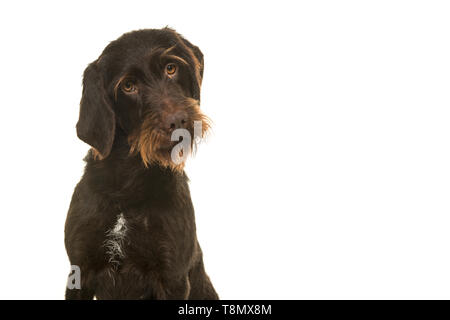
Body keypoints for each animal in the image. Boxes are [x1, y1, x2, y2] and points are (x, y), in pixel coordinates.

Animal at [64, 28, 218, 300]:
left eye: (171, 68)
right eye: (128, 86)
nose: (179, 120)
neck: (128, 183)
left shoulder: (173, 276)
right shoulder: (79, 271)